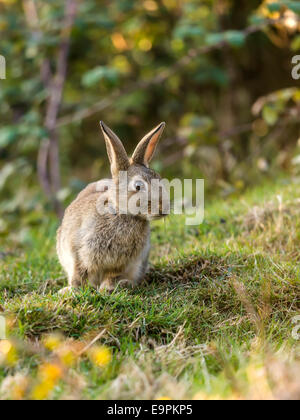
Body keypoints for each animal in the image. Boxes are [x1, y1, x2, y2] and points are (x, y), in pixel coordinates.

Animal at [57, 120, 168, 294]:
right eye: (138, 186)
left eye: (159, 178)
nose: (164, 208)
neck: (121, 212)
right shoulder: (76, 250)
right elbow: (78, 273)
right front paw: (72, 291)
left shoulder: (120, 263)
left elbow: (112, 275)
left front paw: (108, 289)